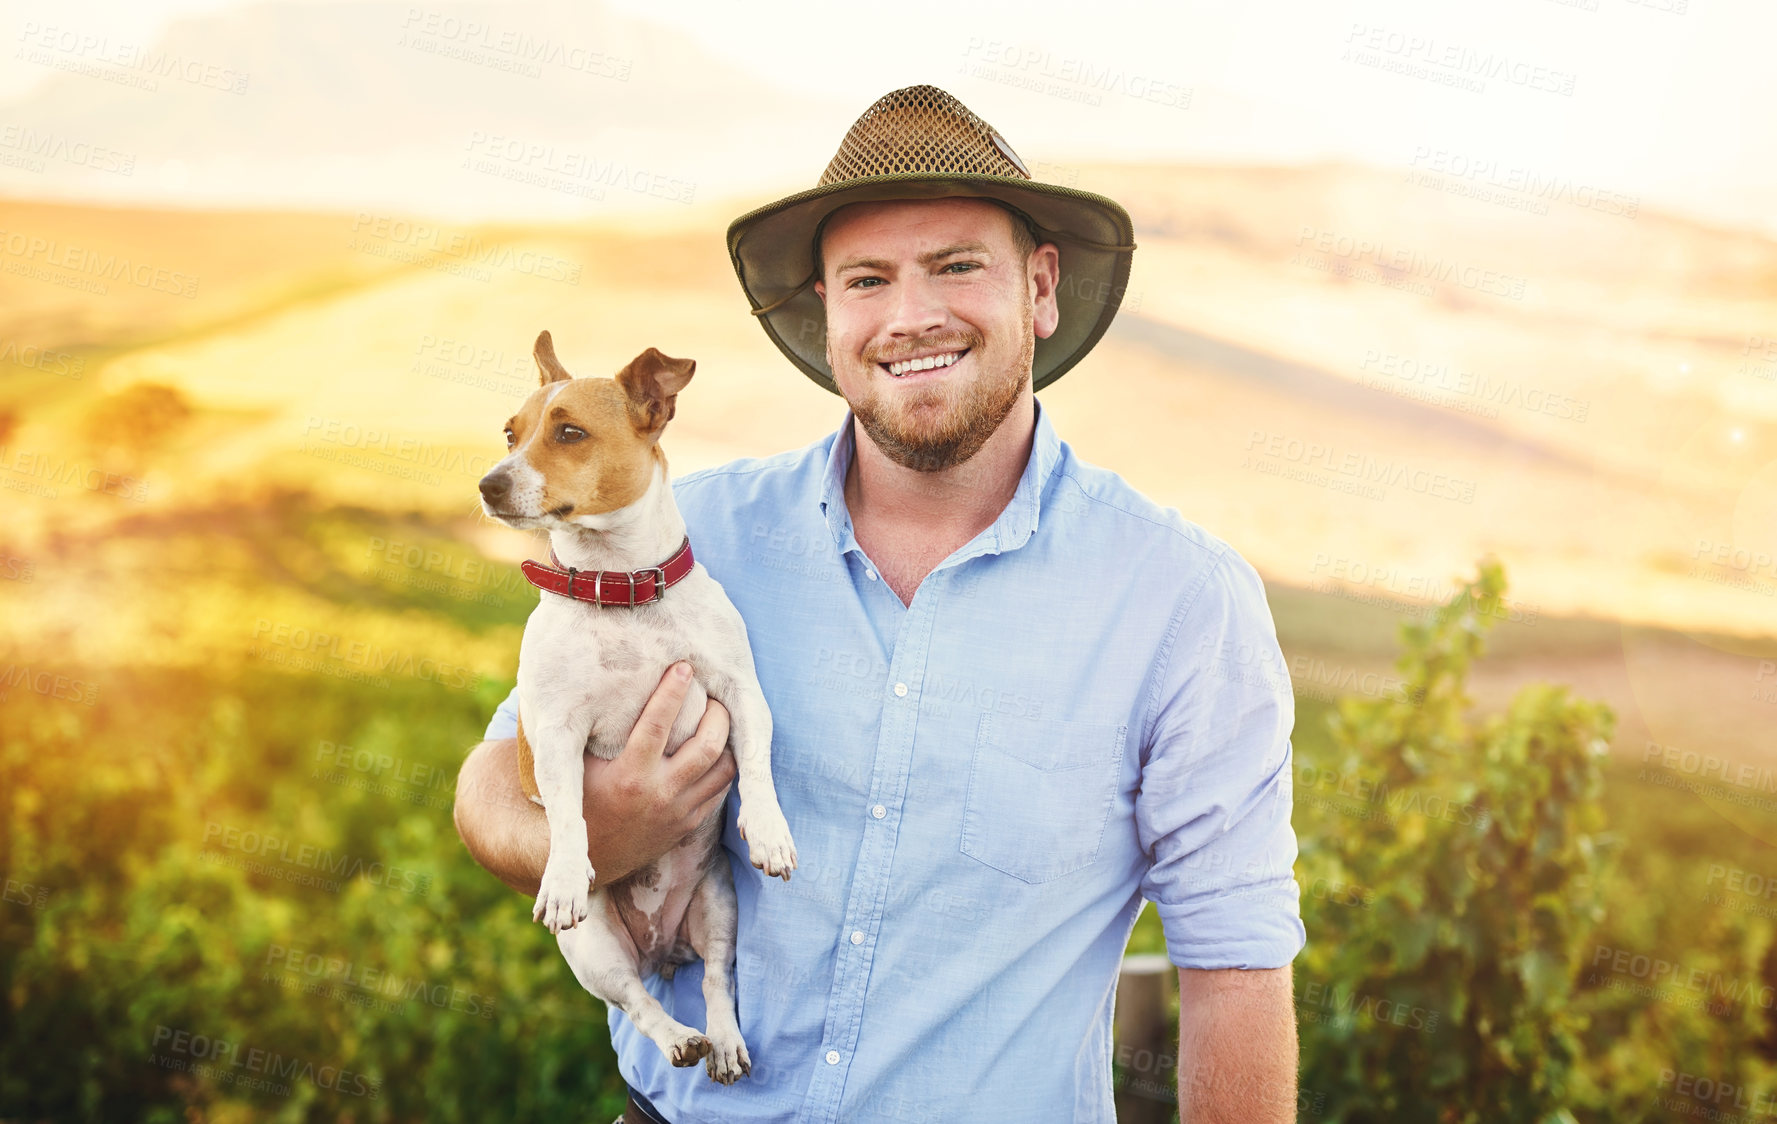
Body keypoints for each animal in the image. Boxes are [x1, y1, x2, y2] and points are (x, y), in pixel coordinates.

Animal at [479, 328, 799, 1079]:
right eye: (509, 433)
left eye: (568, 432)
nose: (488, 483)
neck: (617, 583)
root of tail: (661, 948)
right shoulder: (556, 736)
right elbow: (569, 815)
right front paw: (564, 874)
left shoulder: (742, 694)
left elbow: (760, 767)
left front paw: (770, 830)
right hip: (593, 949)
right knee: (636, 1002)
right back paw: (679, 1038)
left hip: (717, 908)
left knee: (714, 982)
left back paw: (724, 1043)